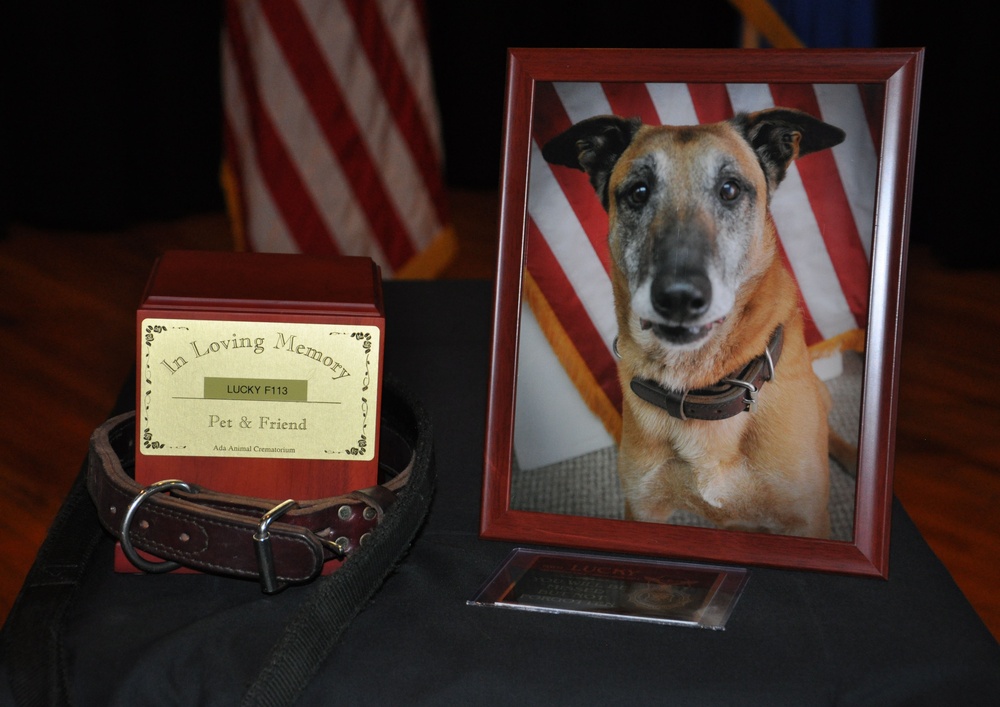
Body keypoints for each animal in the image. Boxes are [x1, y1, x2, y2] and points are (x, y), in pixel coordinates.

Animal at [544, 108, 856, 540]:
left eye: (730, 190)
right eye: (638, 192)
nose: (678, 297)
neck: (701, 386)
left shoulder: (807, 520)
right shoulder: (642, 507)